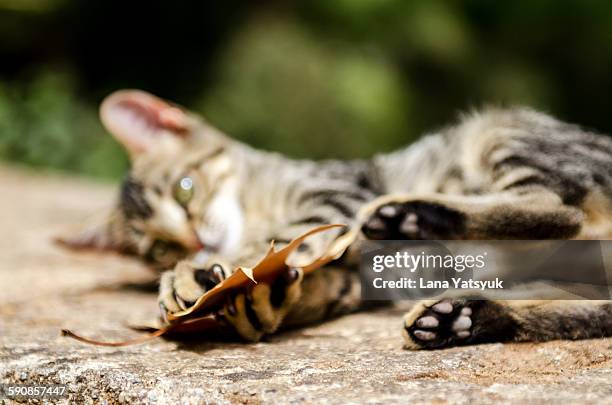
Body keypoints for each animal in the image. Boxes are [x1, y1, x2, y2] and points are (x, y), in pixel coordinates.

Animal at [63, 90, 612, 348]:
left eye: (185, 188)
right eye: (158, 247)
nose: (195, 242)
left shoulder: (332, 197)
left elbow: (277, 241)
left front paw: (199, 277)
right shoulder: (350, 279)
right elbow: (305, 285)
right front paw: (247, 303)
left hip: (497, 132)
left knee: (557, 211)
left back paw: (412, 215)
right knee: (580, 307)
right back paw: (463, 316)